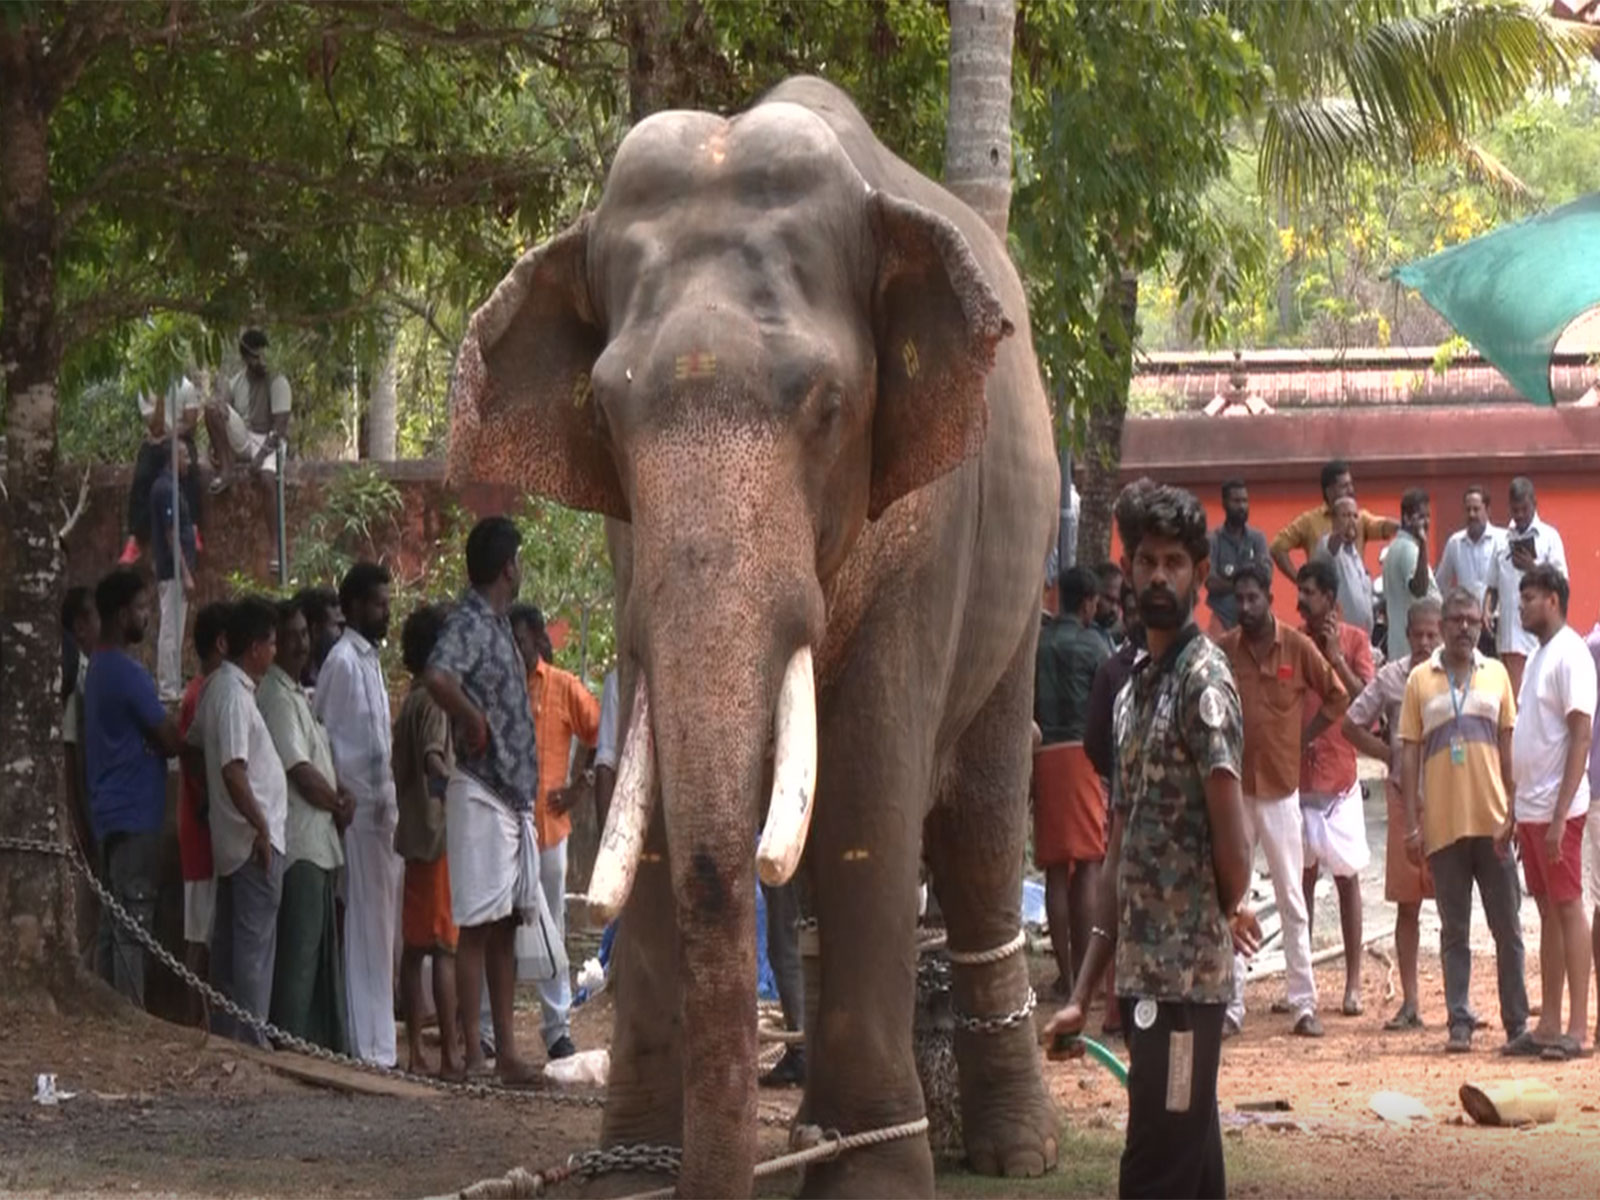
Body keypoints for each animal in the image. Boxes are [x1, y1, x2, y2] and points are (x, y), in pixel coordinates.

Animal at [448, 76, 1060, 1198]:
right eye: (606, 411)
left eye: (825, 405)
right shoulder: (629, 547)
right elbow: (649, 802)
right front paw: (631, 1175)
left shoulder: (930, 530)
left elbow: (868, 792)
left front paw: (870, 1178)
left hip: (1022, 581)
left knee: (983, 827)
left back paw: (1012, 1150)